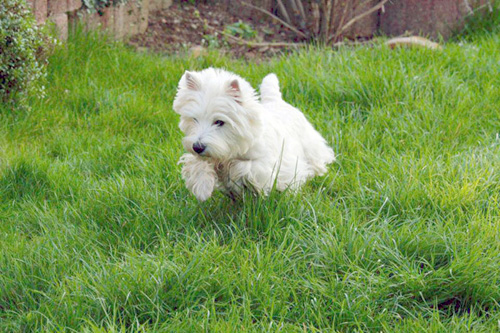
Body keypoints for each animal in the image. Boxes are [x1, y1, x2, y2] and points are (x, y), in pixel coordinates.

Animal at [173, 67, 336, 200]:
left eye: (219, 122)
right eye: (194, 119)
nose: (197, 147)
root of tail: (277, 101)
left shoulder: (267, 165)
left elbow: (242, 166)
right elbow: (196, 162)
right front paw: (203, 187)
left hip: (311, 145)